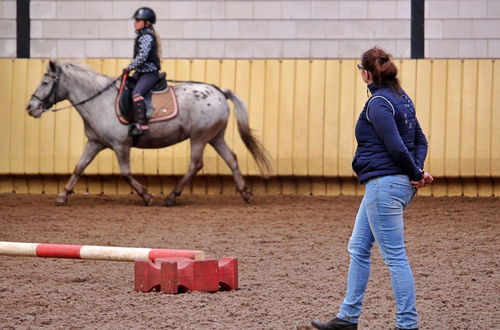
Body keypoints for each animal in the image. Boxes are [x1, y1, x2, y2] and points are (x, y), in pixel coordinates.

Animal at [25, 60, 272, 205]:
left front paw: (146, 195)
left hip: (199, 137)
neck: (99, 100)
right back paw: (245, 193)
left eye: (45, 82)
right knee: (231, 159)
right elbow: (79, 167)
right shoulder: (95, 143)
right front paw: (62, 195)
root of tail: (220, 92)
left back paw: (172, 197)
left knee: (195, 164)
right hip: (214, 137)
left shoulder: (121, 145)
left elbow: (125, 172)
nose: (30, 108)